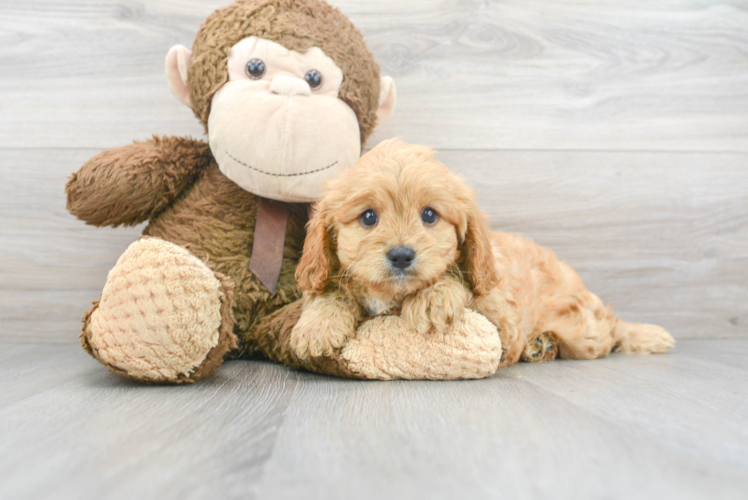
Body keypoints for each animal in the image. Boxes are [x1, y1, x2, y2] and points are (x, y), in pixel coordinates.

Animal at [290, 139, 676, 366]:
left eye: (429, 215)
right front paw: (316, 328)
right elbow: (331, 292)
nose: (401, 255)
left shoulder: (501, 317)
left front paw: (433, 298)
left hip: (585, 330)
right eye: (368, 217)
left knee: (609, 333)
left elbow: (463, 283)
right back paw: (543, 346)